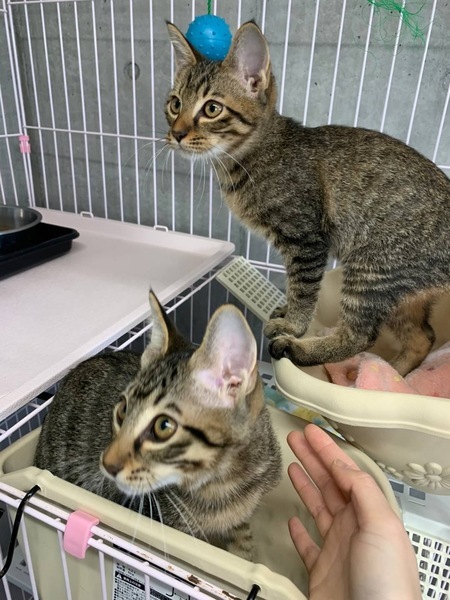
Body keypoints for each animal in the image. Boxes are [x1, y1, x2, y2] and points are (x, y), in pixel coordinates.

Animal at [165, 21, 450, 376]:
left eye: (212, 109)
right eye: (175, 104)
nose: (176, 133)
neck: (249, 159)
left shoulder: (306, 240)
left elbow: (303, 289)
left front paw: (293, 326)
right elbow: (294, 286)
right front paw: (287, 312)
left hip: (372, 268)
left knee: (360, 336)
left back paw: (301, 350)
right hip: (400, 295)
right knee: (423, 337)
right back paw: (393, 376)